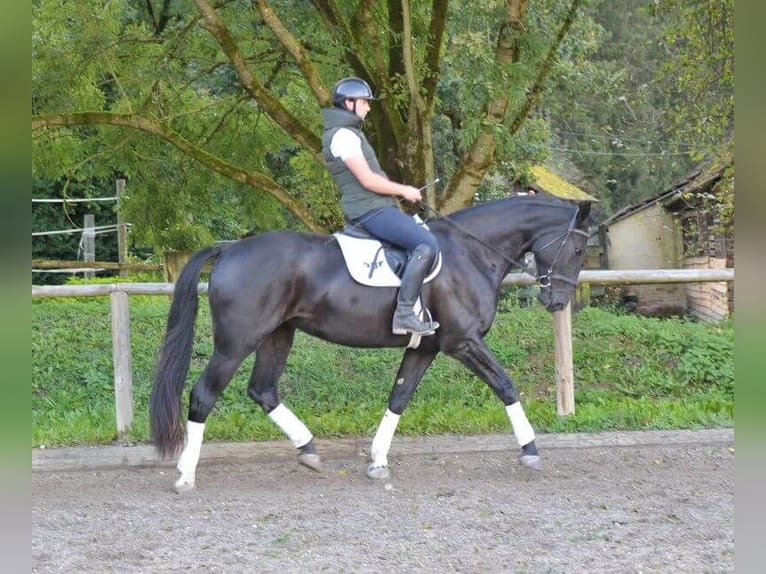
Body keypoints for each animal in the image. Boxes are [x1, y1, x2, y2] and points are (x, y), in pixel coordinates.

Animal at [148, 196, 592, 492]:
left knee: (263, 391)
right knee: (204, 394)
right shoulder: (463, 342)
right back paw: (185, 475)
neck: (471, 252)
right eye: (579, 247)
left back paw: (309, 449)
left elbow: (399, 398)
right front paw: (530, 450)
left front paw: (377, 461)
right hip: (235, 343)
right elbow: (505, 385)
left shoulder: (424, 348)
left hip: (277, 335)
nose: (557, 301)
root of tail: (231, 248)